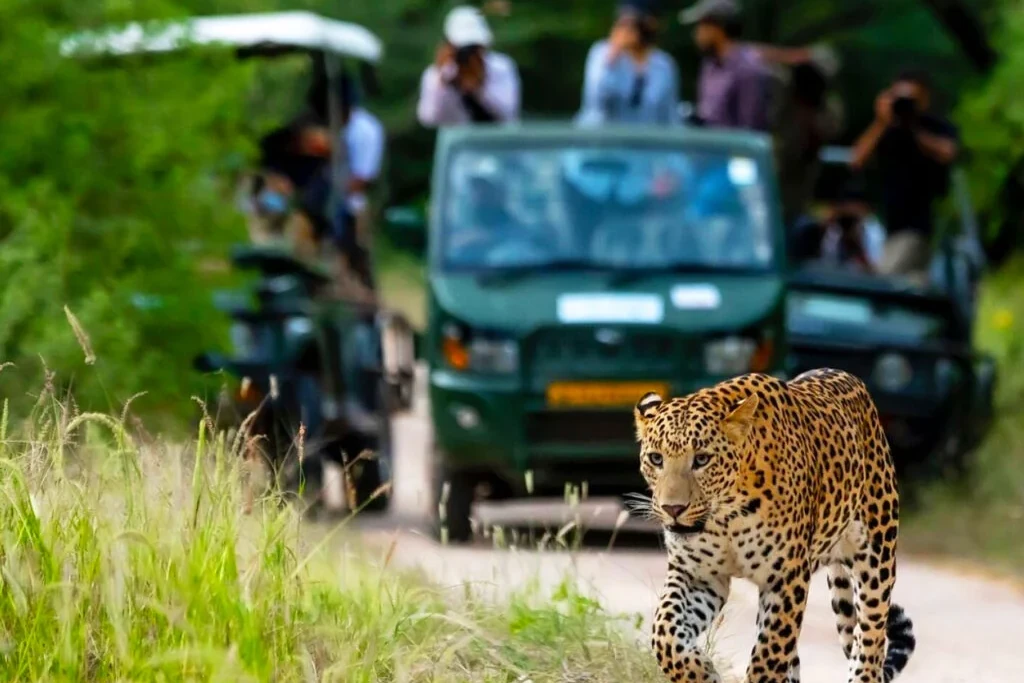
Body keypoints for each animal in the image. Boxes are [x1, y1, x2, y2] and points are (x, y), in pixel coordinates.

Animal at [632, 368, 916, 683]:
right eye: (656, 459)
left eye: (702, 459)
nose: (673, 509)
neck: (726, 517)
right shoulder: (697, 574)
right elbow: (665, 633)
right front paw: (702, 671)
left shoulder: (786, 578)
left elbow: (768, 655)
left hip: (876, 561)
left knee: (870, 644)